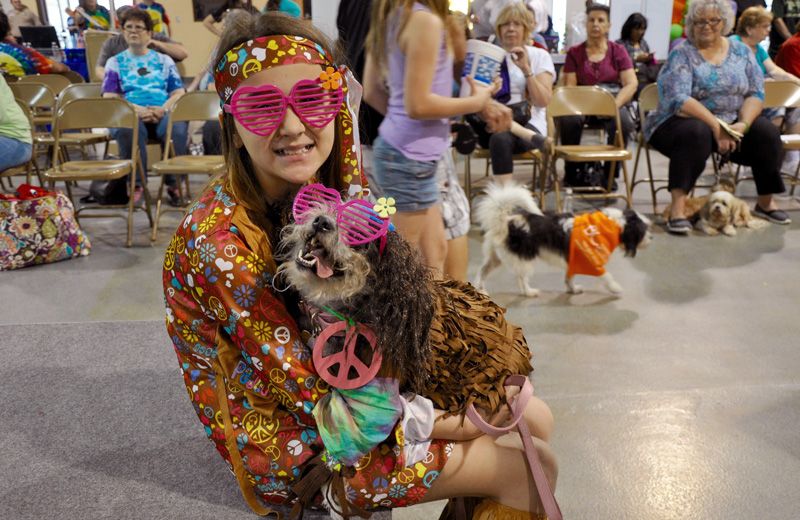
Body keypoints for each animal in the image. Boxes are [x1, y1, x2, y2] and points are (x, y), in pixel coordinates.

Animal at [472, 183, 652, 296]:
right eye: (643, 231)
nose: (652, 237)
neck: (613, 225)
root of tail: (505, 221)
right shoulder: (592, 260)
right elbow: (606, 275)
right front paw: (615, 288)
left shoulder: (573, 261)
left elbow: (569, 277)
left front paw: (572, 290)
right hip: (523, 258)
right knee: (521, 278)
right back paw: (529, 292)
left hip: (497, 257)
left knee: (482, 271)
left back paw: (480, 290)